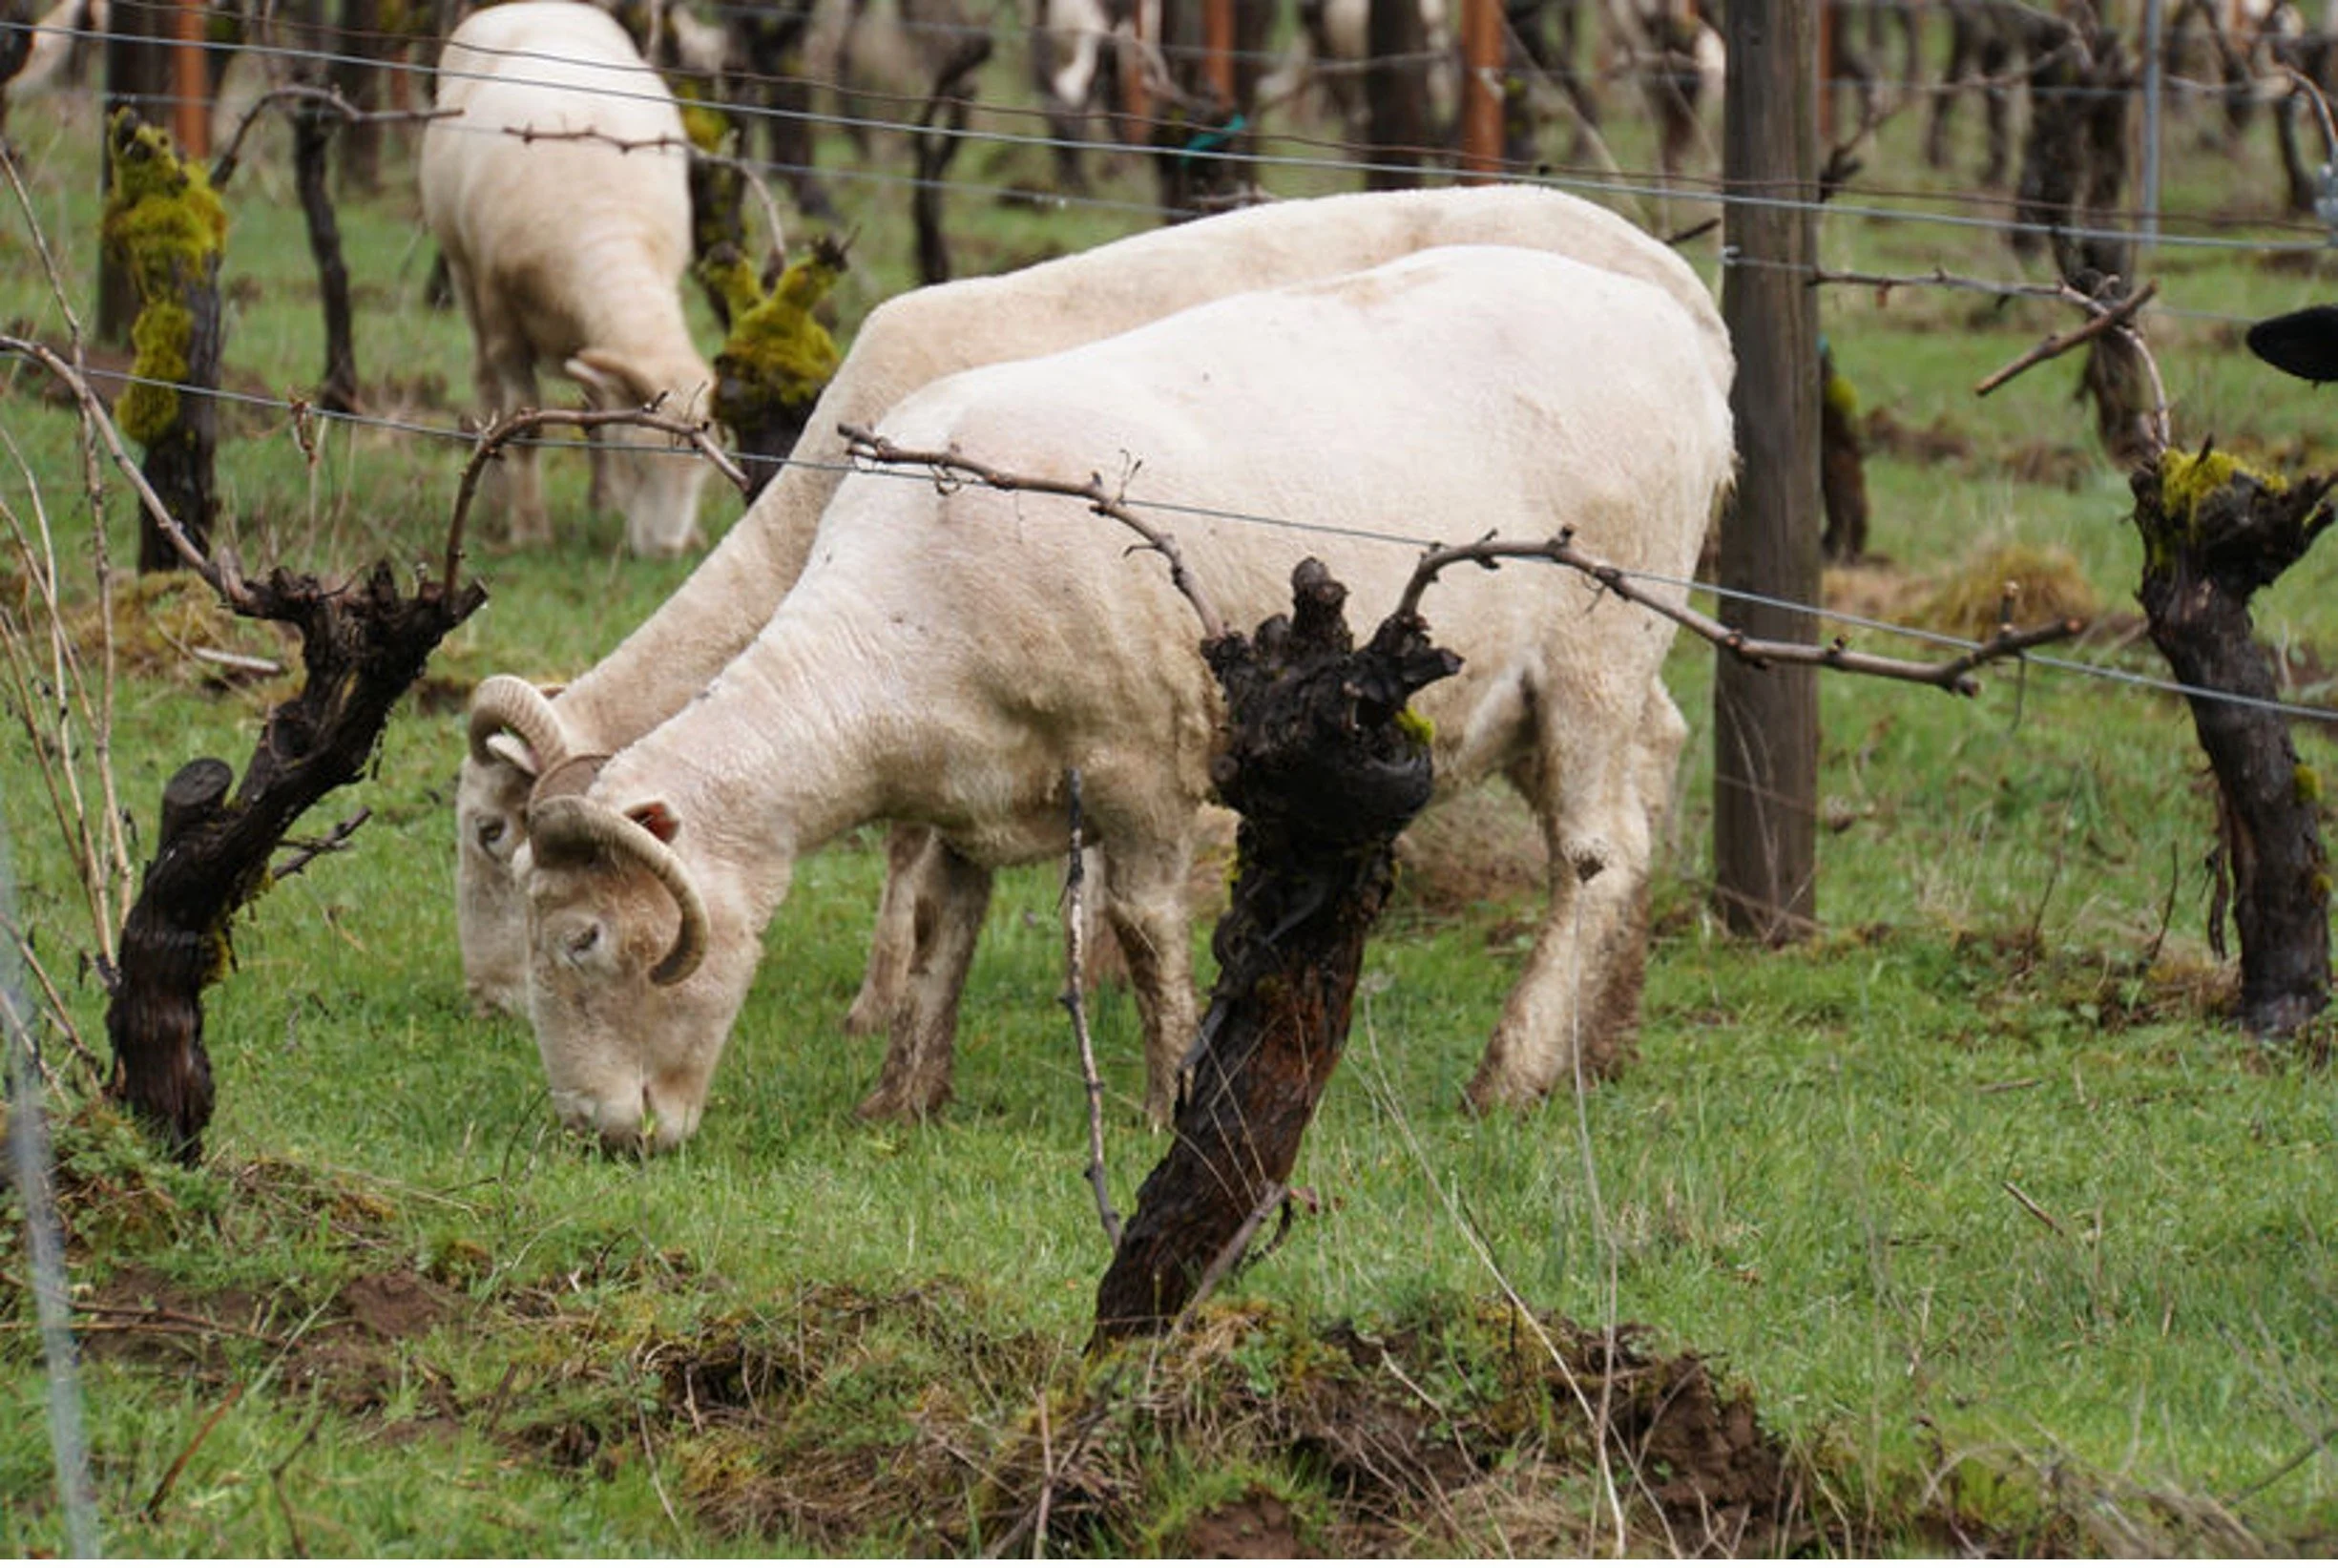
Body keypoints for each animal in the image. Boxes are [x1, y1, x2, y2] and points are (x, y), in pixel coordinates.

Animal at [419, 0, 715, 557]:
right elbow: (524, 424)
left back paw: (602, 501)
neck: (609, 227)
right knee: (484, 383)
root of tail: (532, 5)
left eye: (704, 465)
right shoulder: (503, 316)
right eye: (638, 459)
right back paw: (493, 502)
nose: (665, 552)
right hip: (462, 268)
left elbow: (596, 414)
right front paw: (530, 528)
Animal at [515, 243, 1735, 1153]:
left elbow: (1142, 928)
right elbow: (942, 920)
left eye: (582, 939)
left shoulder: (1141, 760)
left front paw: (1167, 1097)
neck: (896, 623)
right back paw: (1593, 1050)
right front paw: (903, 1094)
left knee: (1596, 853)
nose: (598, 1132)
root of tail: (1671, 327)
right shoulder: (966, 783)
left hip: (1600, 648)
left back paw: (1509, 1072)